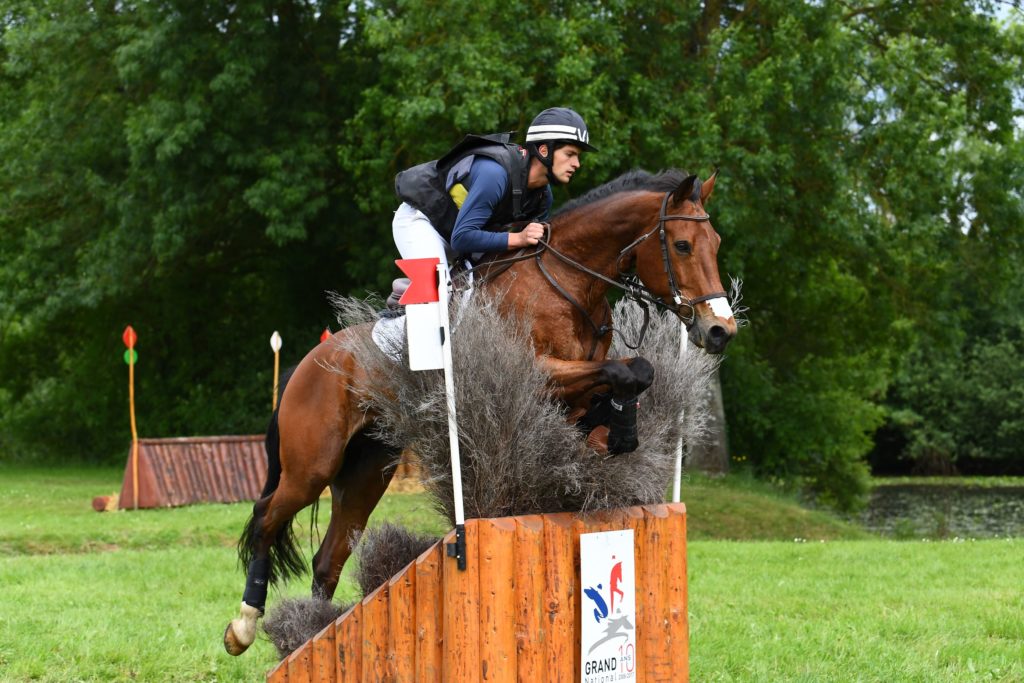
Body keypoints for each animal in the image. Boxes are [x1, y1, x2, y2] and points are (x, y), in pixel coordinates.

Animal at [224, 167, 737, 655]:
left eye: (715, 244)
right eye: (683, 245)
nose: (720, 331)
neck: (568, 282)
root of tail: (309, 362)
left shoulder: (582, 376)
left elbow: (633, 372)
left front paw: (612, 432)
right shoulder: (540, 370)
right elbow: (624, 370)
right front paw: (616, 433)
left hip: (369, 468)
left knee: (328, 557)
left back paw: (313, 631)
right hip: (313, 465)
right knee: (266, 518)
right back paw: (244, 627)